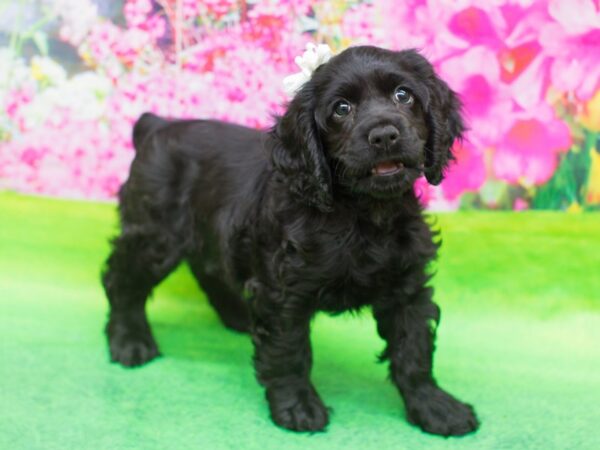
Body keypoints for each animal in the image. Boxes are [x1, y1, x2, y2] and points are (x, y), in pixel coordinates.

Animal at [102, 45, 478, 436]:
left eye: (403, 95)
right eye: (341, 108)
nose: (384, 135)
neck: (362, 213)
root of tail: (158, 125)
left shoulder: (407, 287)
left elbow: (414, 350)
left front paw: (435, 407)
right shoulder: (283, 292)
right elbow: (288, 351)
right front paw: (297, 407)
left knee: (207, 268)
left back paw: (238, 316)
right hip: (155, 235)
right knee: (121, 281)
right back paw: (130, 341)